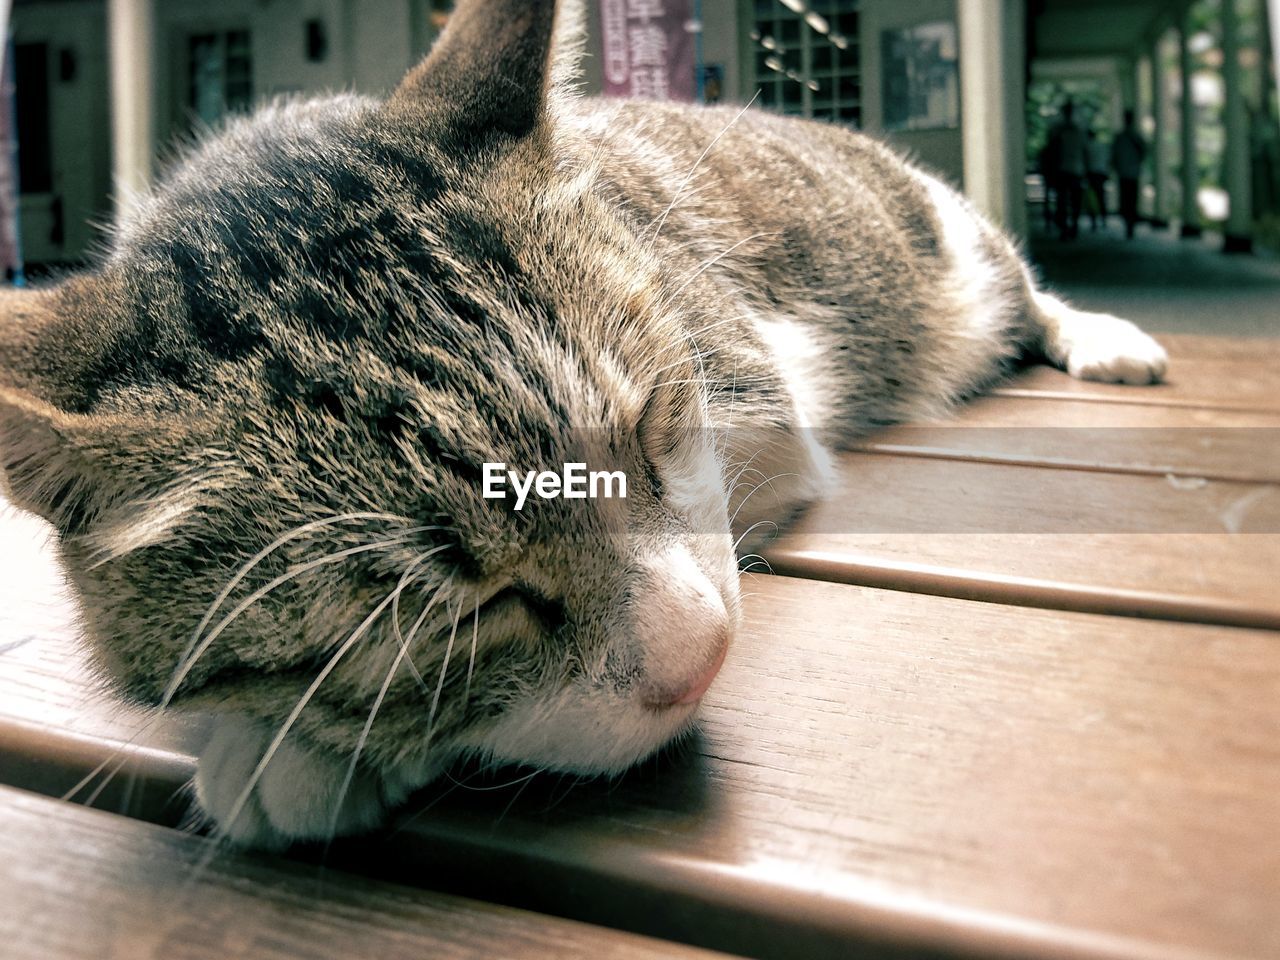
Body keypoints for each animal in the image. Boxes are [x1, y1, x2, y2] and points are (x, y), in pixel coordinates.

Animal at [0, 0, 1167, 849]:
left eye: (651, 431)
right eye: (458, 614)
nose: (701, 658)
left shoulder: (758, 398)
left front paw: (285, 757)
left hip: (946, 244)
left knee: (1019, 280)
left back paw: (1096, 333)